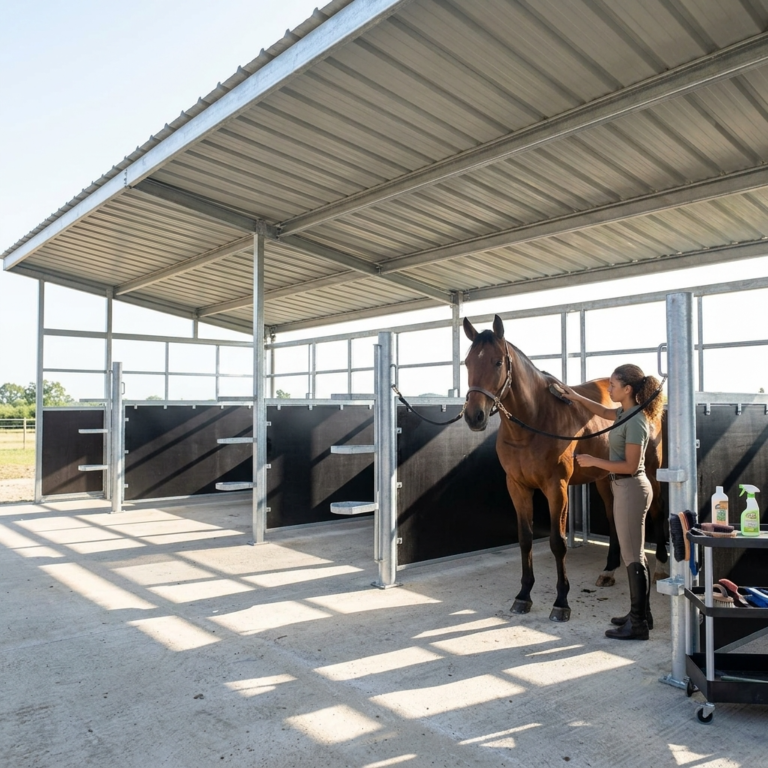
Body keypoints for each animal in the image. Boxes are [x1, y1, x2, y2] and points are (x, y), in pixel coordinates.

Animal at [462, 315, 665, 622]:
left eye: (498, 362)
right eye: (467, 362)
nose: (474, 416)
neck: (534, 421)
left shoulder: (556, 487)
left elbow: (558, 542)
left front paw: (561, 602)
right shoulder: (517, 486)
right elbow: (525, 539)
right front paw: (523, 596)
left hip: (651, 473)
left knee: (657, 512)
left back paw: (663, 568)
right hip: (604, 478)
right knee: (613, 516)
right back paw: (608, 571)